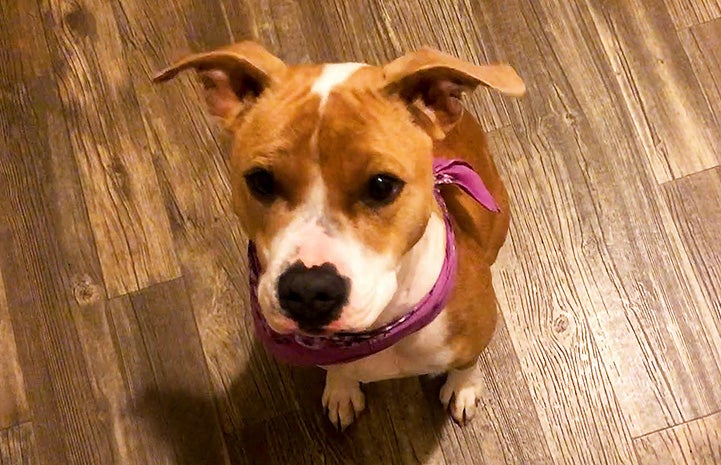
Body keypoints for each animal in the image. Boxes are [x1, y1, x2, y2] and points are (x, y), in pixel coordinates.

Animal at [153, 41, 524, 430]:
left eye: (382, 185)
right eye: (261, 181)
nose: (309, 290)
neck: (380, 332)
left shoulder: (474, 336)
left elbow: (466, 362)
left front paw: (464, 387)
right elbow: (340, 371)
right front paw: (341, 389)